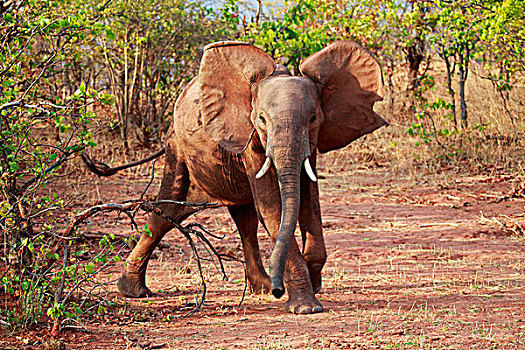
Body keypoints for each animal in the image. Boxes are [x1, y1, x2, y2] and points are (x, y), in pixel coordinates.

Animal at [85, 41, 384, 314]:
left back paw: (262, 287)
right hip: (176, 147)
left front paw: (312, 282)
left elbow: (309, 199)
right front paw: (306, 306)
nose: (280, 290)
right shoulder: (249, 138)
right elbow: (272, 206)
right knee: (168, 211)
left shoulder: (311, 143)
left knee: (244, 219)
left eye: (313, 118)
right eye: (261, 120)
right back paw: (133, 291)